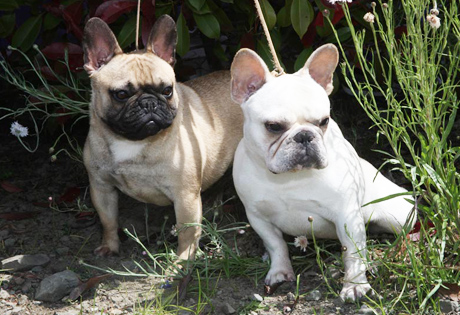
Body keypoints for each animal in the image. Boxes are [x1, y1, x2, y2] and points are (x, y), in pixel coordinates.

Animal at [82, 14, 243, 260]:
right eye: (121, 94)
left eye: (167, 90)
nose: (149, 102)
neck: (132, 141)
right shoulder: (101, 187)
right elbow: (108, 220)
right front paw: (110, 245)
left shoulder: (185, 197)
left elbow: (187, 234)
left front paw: (183, 261)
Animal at [232, 43, 416, 302]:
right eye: (274, 126)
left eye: (324, 121)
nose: (304, 136)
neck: (290, 178)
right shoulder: (258, 217)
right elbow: (276, 245)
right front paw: (279, 271)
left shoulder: (347, 216)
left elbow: (353, 253)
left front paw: (355, 285)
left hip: (397, 215)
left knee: (406, 232)